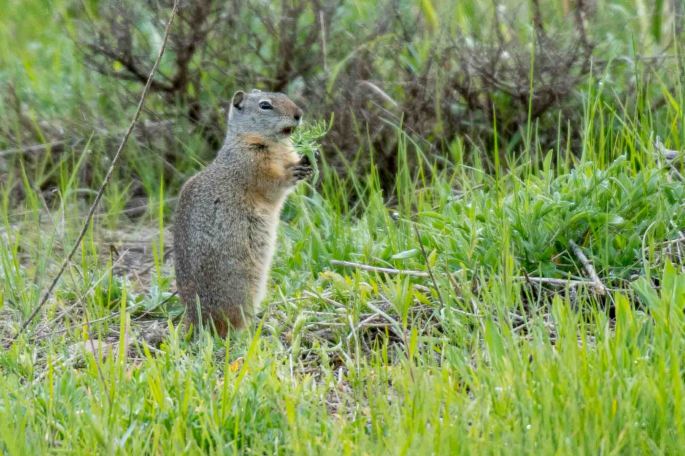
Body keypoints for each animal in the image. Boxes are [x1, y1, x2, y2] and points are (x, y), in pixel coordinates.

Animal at [173, 89, 312, 337]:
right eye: (265, 105)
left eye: (283, 94)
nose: (299, 114)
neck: (273, 143)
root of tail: (194, 321)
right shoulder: (252, 163)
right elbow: (272, 183)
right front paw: (294, 172)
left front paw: (307, 164)